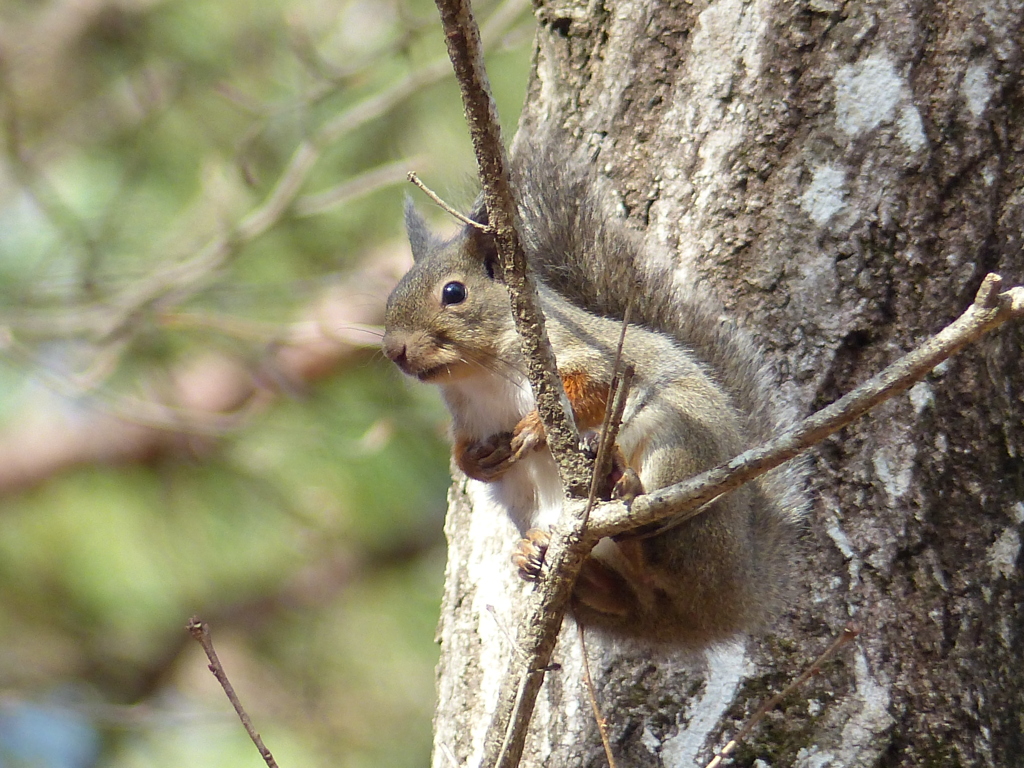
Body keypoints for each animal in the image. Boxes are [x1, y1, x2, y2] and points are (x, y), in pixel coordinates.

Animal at [380, 140, 802, 651]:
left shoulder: (588, 355)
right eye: (390, 298)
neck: (478, 376)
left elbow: (597, 389)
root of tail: (728, 602)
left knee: (661, 552)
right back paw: (542, 556)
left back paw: (627, 492)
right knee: (628, 593)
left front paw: (536, 429)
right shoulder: (467, 417)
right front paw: (477, 462)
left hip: (679, 452)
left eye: (454, 292)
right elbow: (463, 452)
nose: (395, 350)